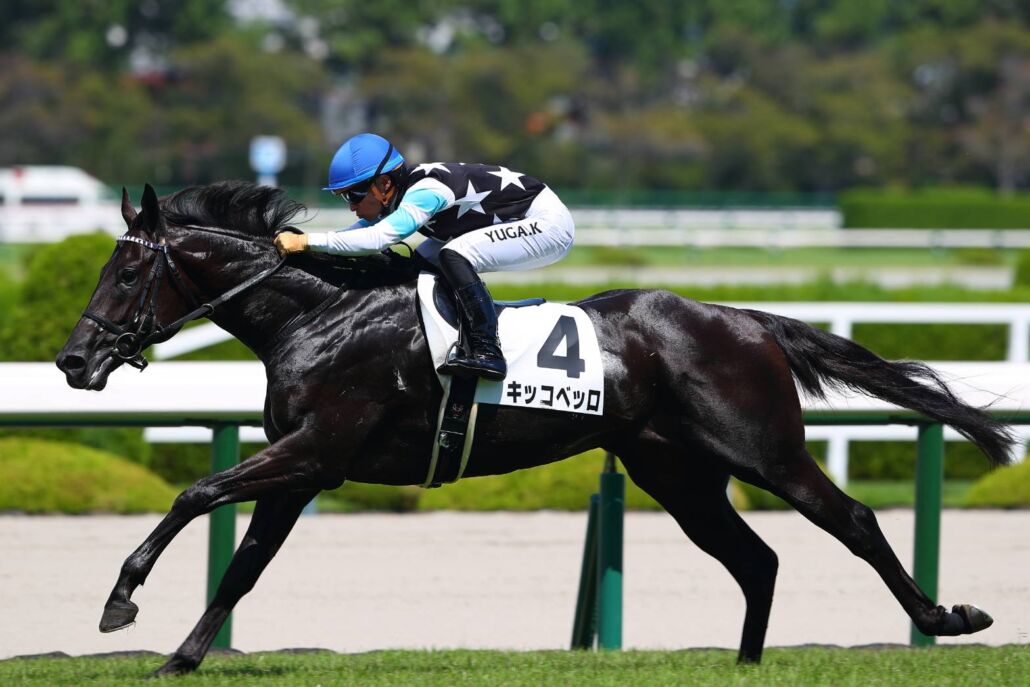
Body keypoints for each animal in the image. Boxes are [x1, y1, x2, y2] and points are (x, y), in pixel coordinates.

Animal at [56, 181, 1012, 676]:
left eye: (128, 269)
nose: (71, 360)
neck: (319, 315)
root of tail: (741, 317)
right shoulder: (305, 467)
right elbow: (245, 563)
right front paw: (180, 656)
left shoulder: (316, 450)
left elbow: (195, 490)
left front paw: (120, 598)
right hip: (676, 471)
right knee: (756, 557)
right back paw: (743, 662)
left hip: (761, 447)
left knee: (851, 519)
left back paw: (947, 615)